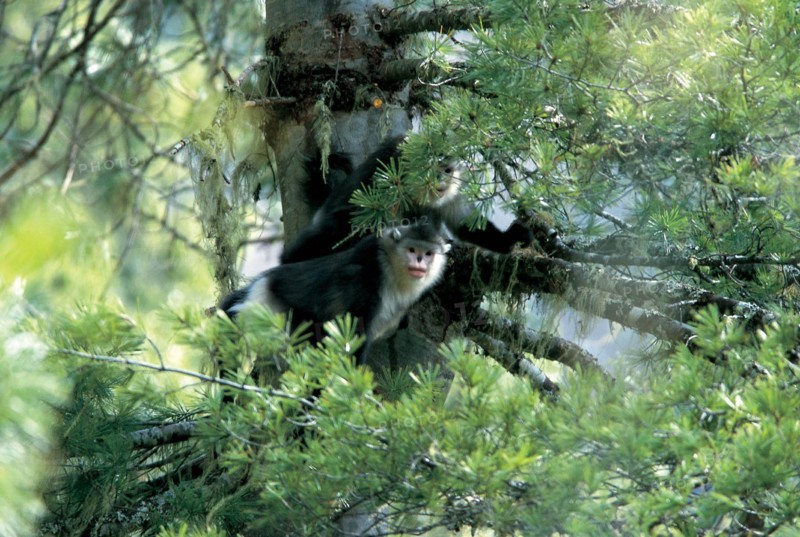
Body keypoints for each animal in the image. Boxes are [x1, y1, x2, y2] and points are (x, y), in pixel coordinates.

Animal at [220, 220, 451, 366]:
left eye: (428, 253)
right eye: (412, 250)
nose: (420, 261)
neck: (390, 269)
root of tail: (262, 282)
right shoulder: (365, 283)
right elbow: (352, 338)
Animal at [280, 136, 532, 264]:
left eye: (447, 170)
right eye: (432, 169)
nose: (440, 180)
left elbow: (464, 224)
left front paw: (510, 238)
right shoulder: (389, 171)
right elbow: (359, 216)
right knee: (340, 225)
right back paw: (290, 259)